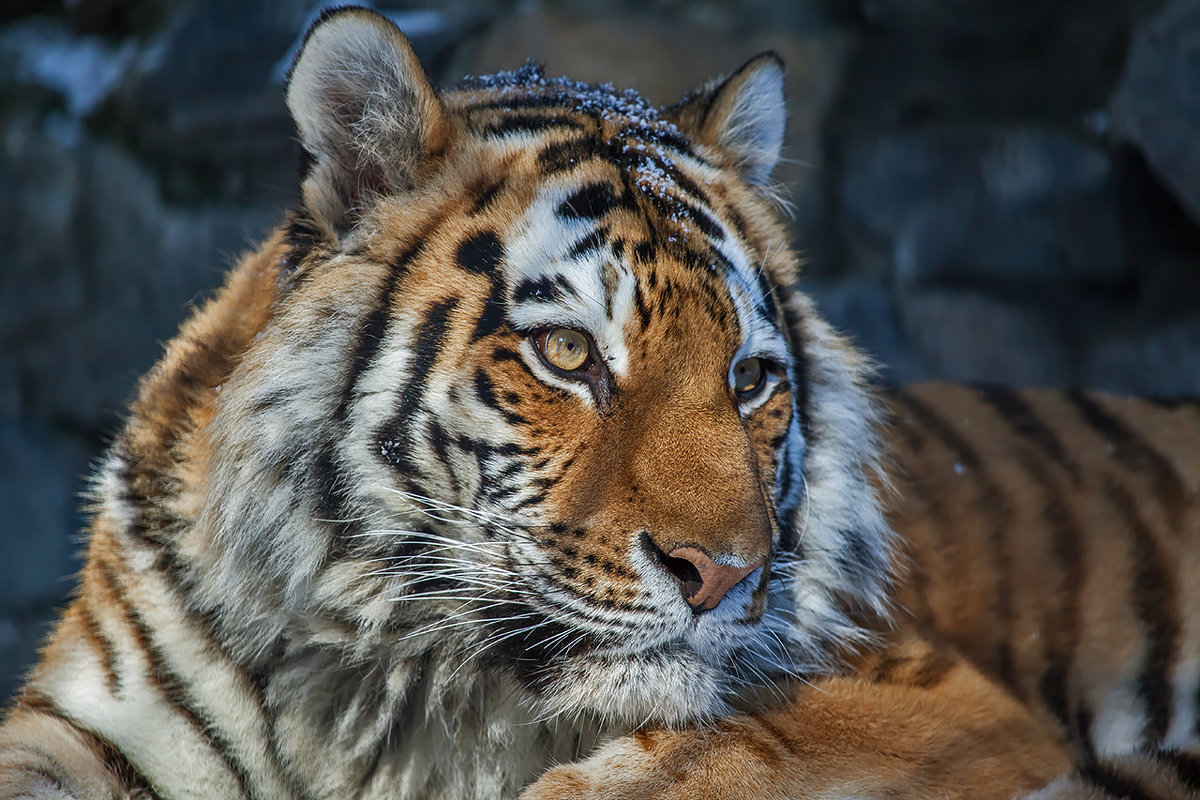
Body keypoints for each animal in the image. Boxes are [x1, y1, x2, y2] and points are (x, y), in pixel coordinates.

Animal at [0, 7, 1195, 800]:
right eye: (569, 352)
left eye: (748, 379)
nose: (724, 577)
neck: (388, 685)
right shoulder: (90, 718)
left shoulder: (936, 696)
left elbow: (709, 752)